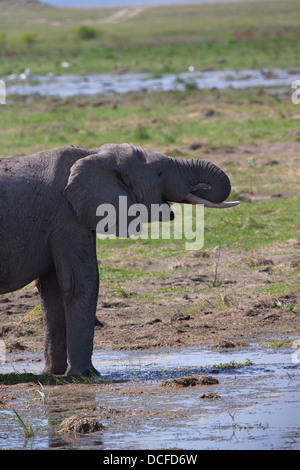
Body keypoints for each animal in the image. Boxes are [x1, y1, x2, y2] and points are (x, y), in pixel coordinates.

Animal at [0, 143, 239, 374]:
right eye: (160, 173)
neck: (91, 153)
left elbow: (53, 290)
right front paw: (85, 374)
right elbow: (81, 282)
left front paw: (53, 374)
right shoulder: (66, 217)